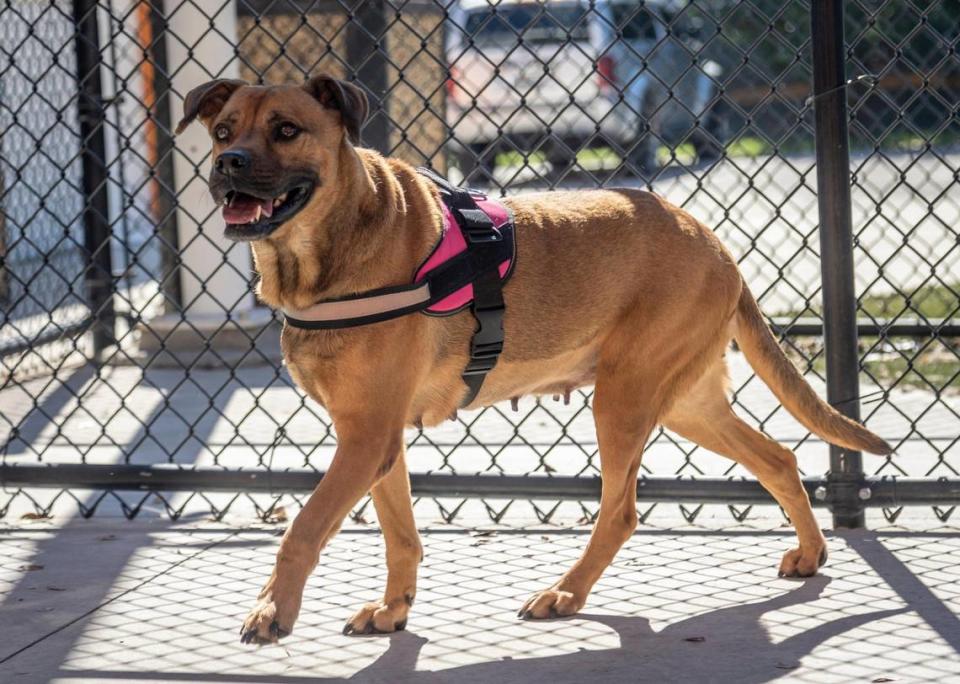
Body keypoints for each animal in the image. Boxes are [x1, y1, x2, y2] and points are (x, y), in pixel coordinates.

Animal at [174, 76, 892, 648]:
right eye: (223, 129)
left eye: (287, 130)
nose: (229, 162)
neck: (325, 250)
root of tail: (714, 242)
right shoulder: (376, 440)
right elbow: (399, 532)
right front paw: (393, 608)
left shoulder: (366, 437)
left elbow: (303, 528)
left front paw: (272, 612)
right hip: (687, 403)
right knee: (779, 459)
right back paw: (810, 551)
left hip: (625, 398)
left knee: (622, 512)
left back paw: (566, 593)